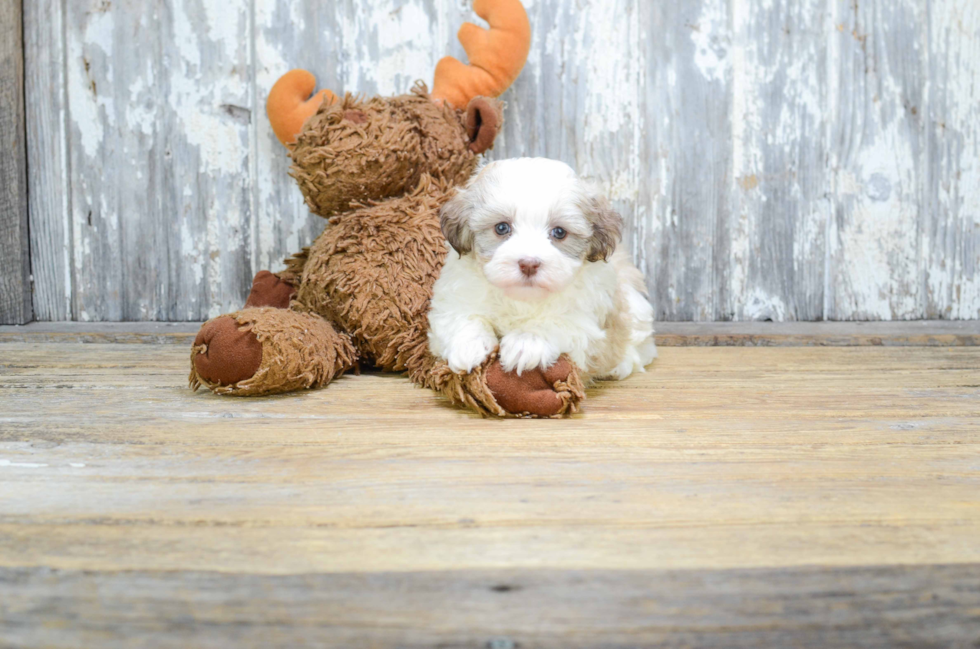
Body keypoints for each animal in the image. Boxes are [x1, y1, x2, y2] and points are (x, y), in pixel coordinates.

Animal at [428, 158, 660, 380]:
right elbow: (462, 316)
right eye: (502, 228)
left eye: (559, 232)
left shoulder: (586, 319)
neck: (522, 299)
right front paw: (469, 345)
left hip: (636, 310)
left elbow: (559, 322)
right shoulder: (454, 296)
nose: (529, 264)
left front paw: (526, 341)